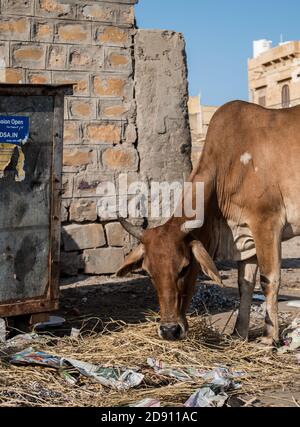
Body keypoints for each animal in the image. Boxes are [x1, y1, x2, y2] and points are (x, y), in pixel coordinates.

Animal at [116, 102, 298, 346]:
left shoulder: (267, 223)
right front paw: (238, 334)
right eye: (148, 272)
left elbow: (269, 280)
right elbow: (245, 284)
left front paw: (269, 338)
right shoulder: (245, 235)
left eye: (185, 267)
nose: (169, 330)